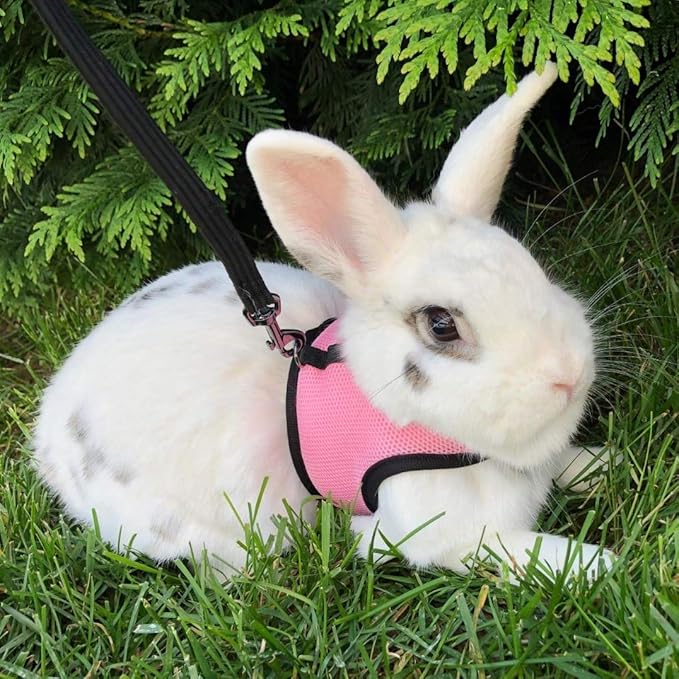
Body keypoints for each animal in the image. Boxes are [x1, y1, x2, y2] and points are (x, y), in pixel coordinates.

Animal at [32, 63, 614, 581]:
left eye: (534, 269)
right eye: (441, 325)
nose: (569, 374)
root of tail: (49, 440)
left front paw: (603, 464)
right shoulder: (453, 536)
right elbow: (526, 553)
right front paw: (603, 566)